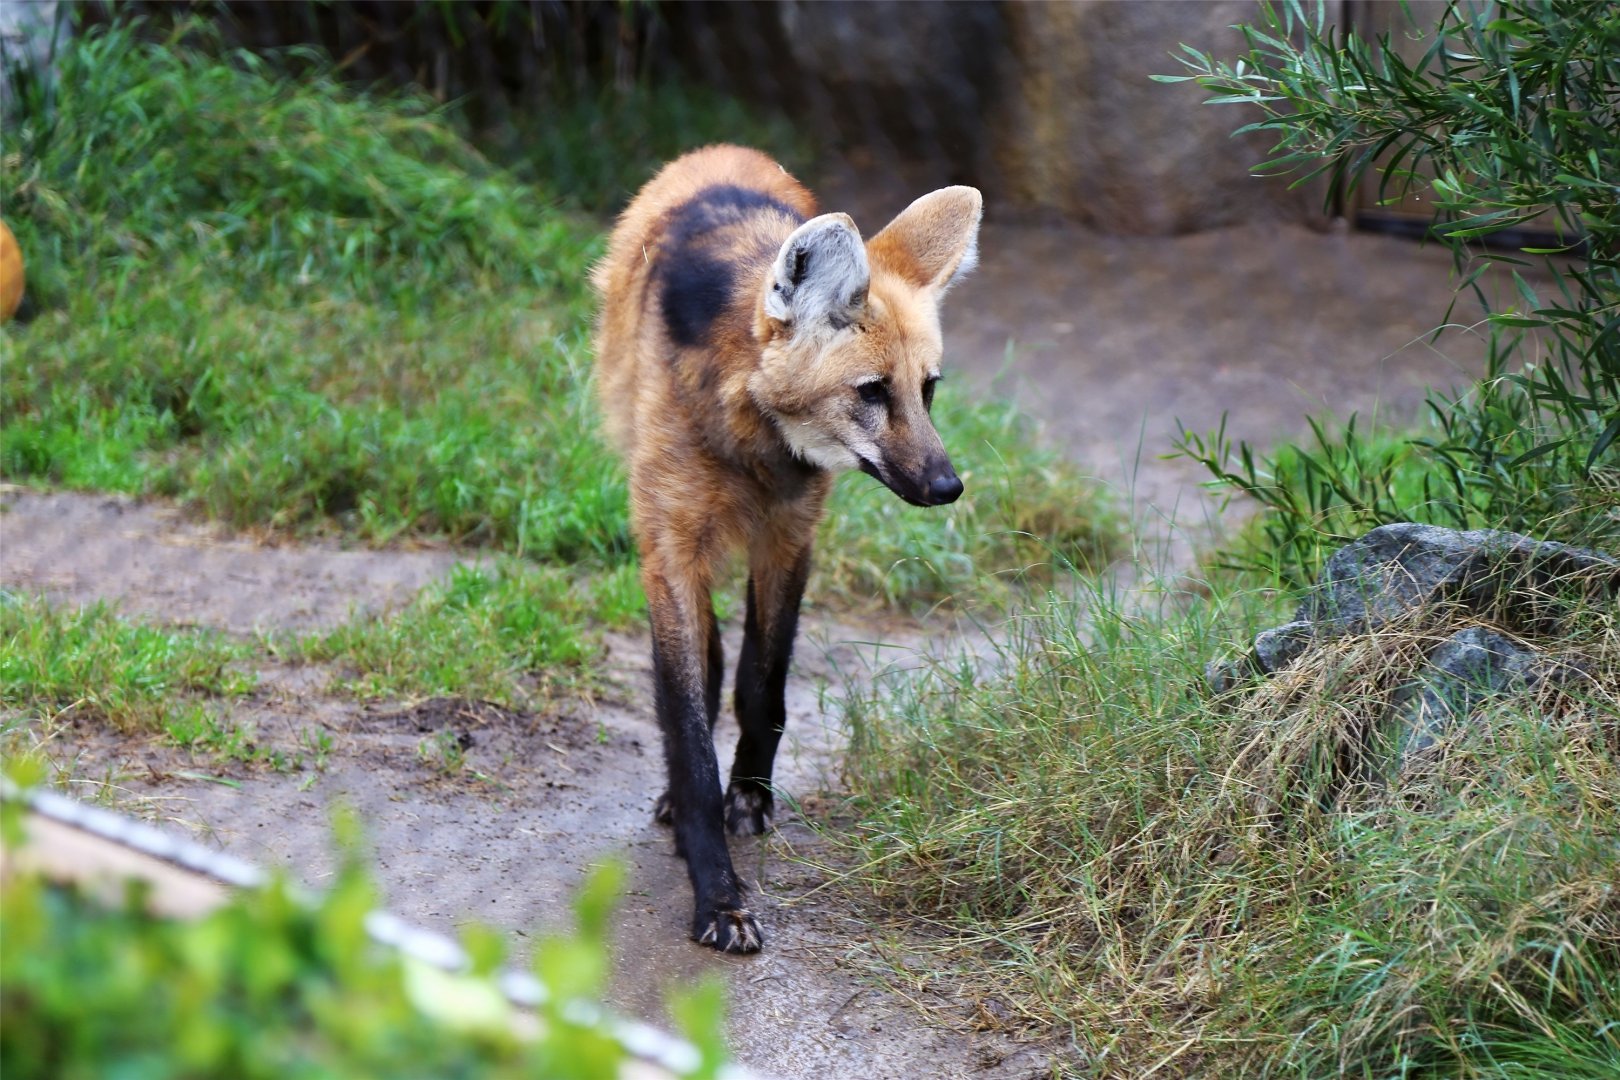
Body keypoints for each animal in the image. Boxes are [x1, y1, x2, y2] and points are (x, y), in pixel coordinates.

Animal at [592, 145, 981, 952]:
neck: (752, 439)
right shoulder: (669, 546)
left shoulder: (789, 535)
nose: (947, 485)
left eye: (926, 390)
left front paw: (750, 797)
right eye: (871, 391)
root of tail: (721, 151)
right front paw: (718, 895)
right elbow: (687, 711)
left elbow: (762, 683)